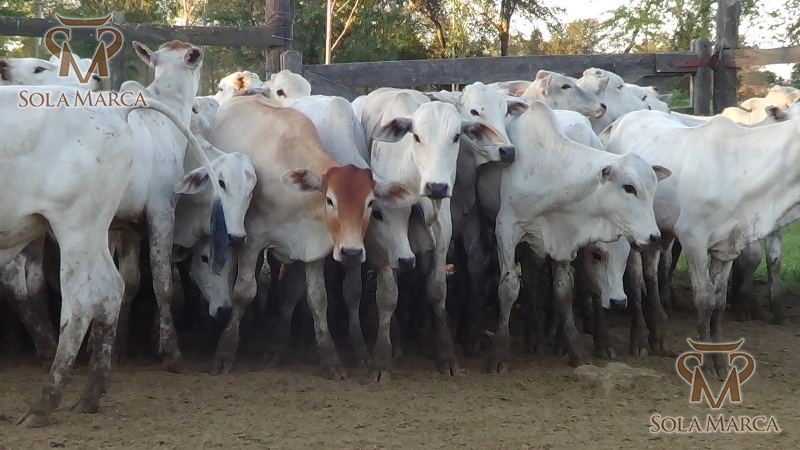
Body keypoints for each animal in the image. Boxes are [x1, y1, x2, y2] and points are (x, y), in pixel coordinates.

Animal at [205, 92, 416, 379]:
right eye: (330, 200)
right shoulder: (251, 242)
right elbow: (243, 293)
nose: (351, 252)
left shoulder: (313, 249)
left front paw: (330, 358)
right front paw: (225, 352)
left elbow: (318, 299)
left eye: (370, 203)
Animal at [476, 101, 669, 372]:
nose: (654, 236)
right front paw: (498, 354)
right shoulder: (506, 228)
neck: (551, 170)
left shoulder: (564, 238)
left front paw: (575, 349)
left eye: (653, 189)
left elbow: (564, 289)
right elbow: (509, 287)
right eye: (629, 187)